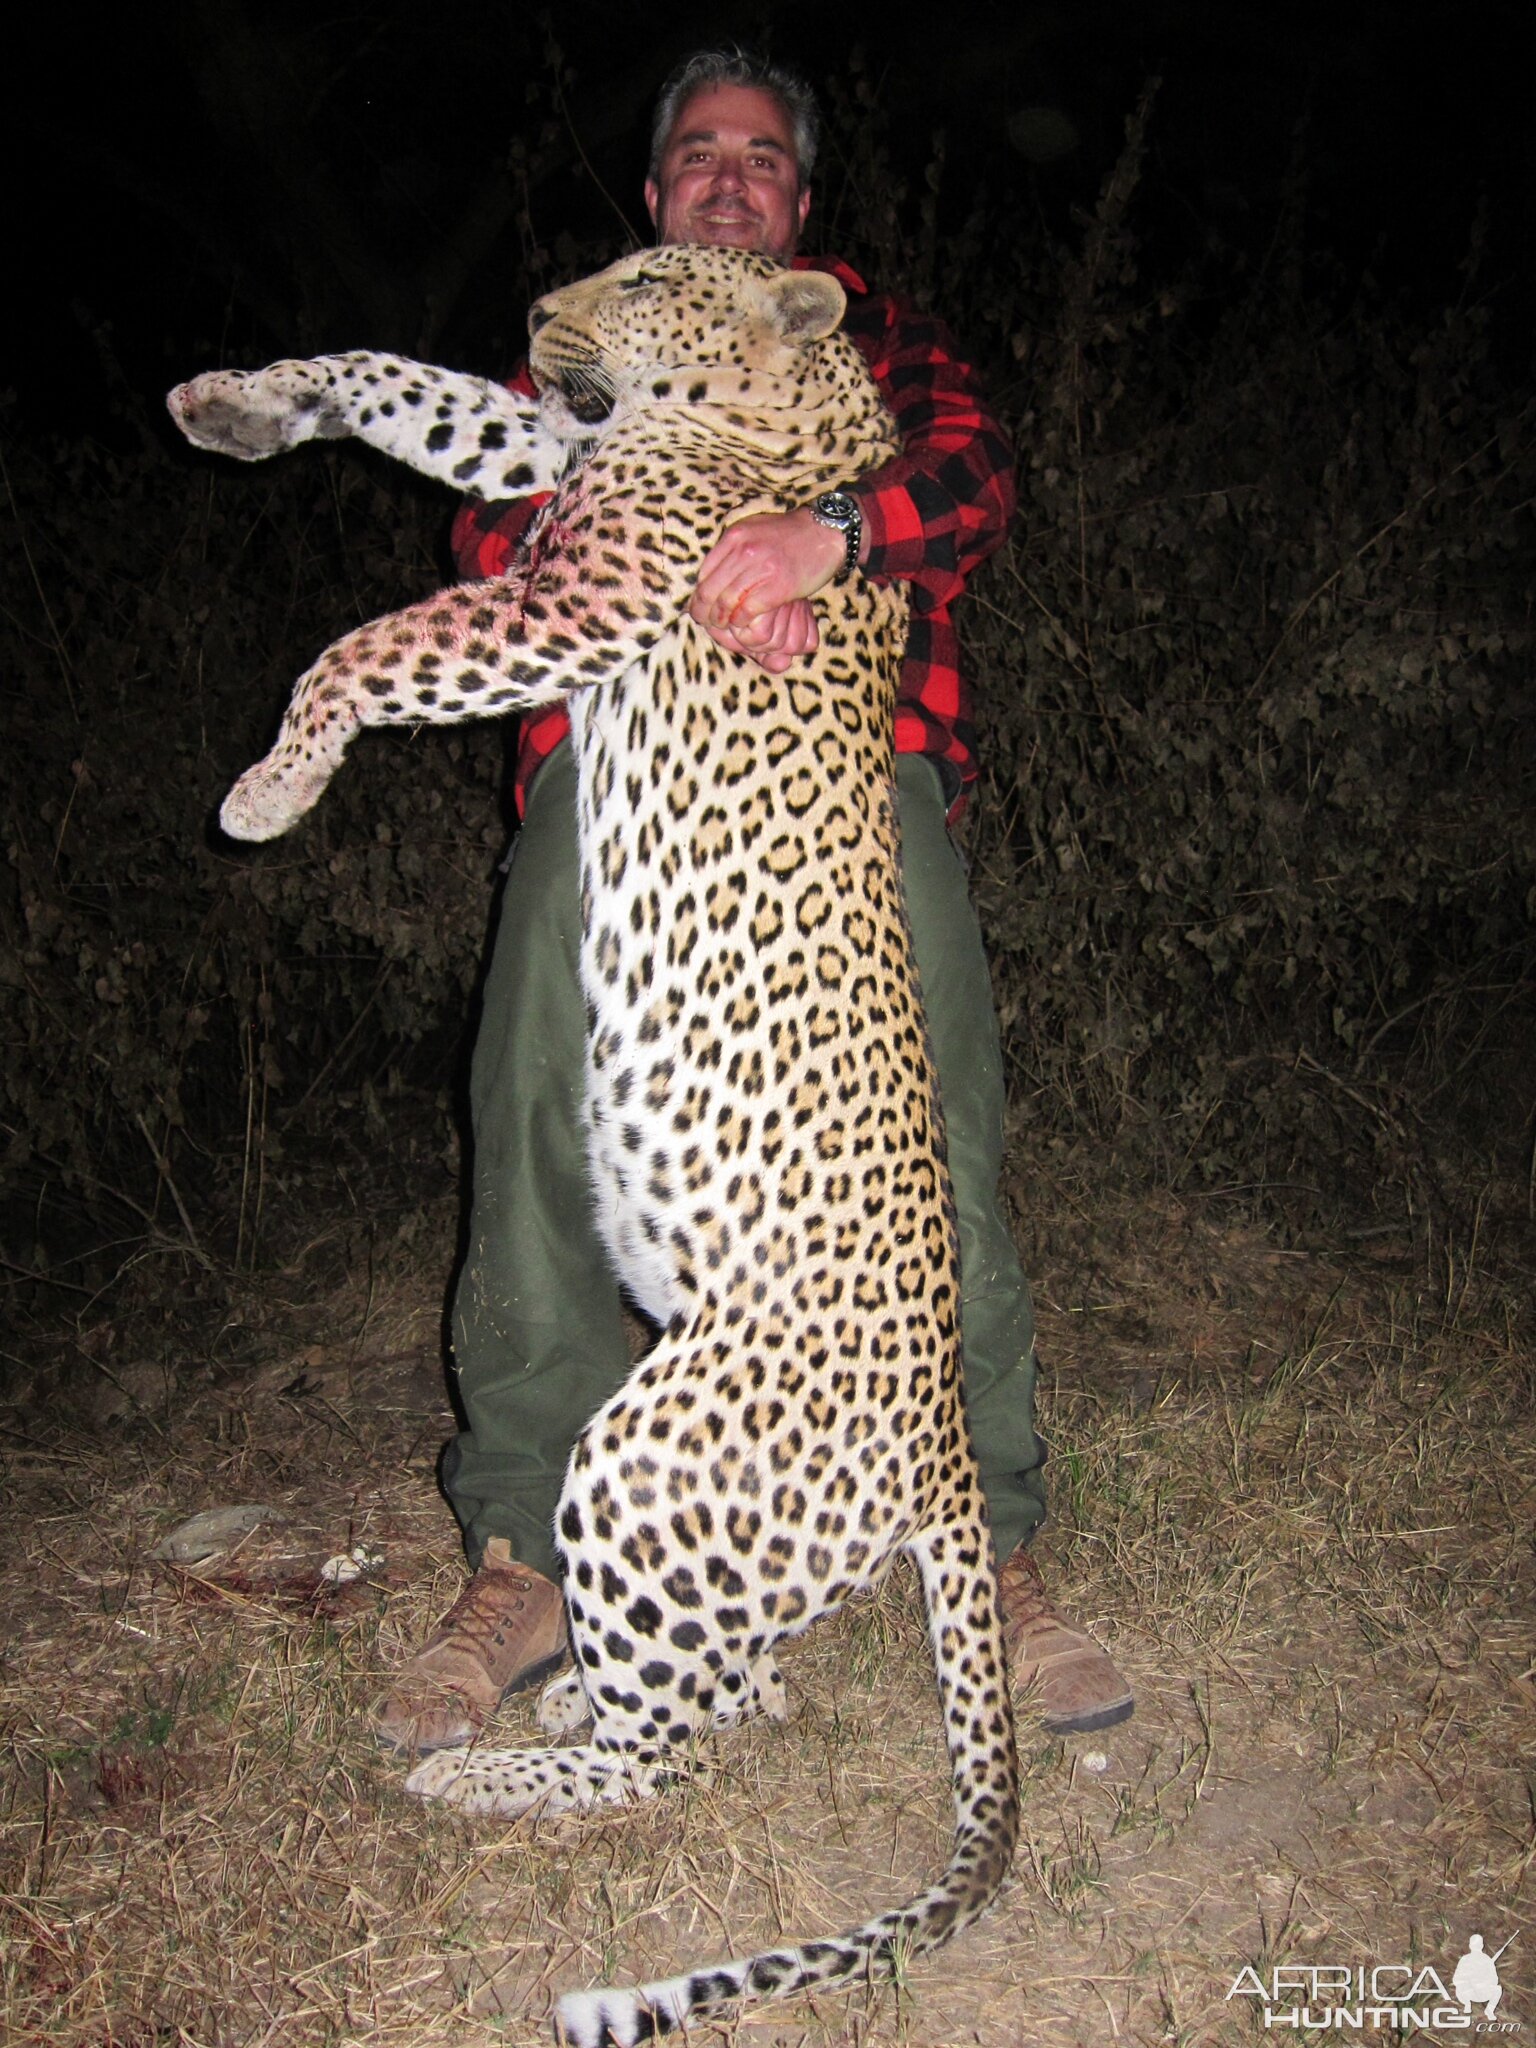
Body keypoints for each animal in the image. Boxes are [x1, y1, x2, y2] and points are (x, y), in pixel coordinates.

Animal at [167, 243, 1024, 2048]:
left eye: (645, 272)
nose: (540, 307)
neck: (792, 406)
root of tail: (942, 1450)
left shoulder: (581, 594)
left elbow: (359, 649)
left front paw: (271, 790)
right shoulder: (550, 466)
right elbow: (416, 390)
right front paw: (243, 402)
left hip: (643, 1449)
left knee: (674, 1755)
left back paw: (482, 1767)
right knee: (727, 1689)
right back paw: (560, 1687)